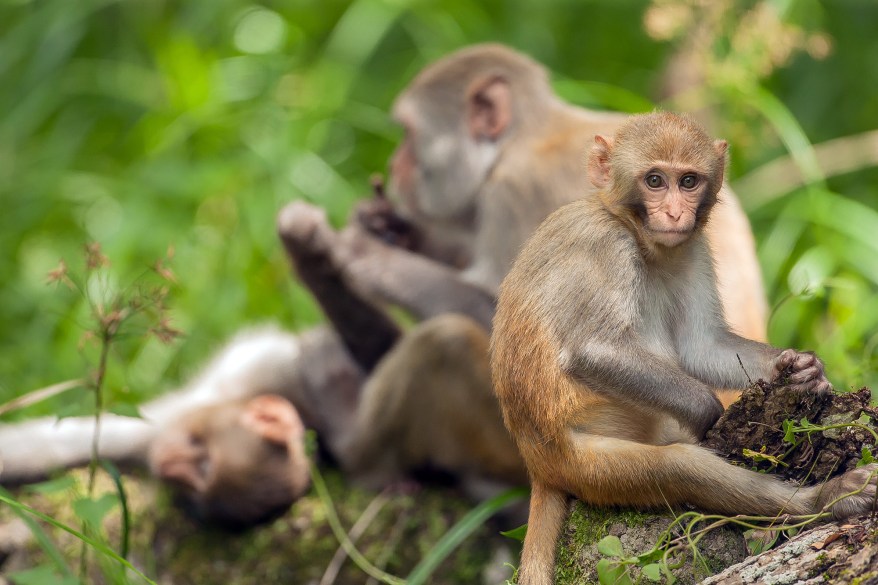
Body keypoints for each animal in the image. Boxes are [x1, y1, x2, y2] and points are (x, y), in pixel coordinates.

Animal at [492, 110, 876, 584]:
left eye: (689, 181)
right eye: (655, 181)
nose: (676, 212)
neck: (634, 232)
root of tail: (536, 463)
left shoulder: (693, 248)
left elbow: (701, 346)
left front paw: (803, 369)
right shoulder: (601, 243)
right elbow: (593, 350)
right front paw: (707, 411)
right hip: (586, 465)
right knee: (680, 466)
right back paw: (825, 501)